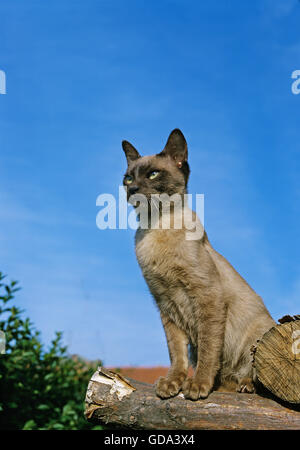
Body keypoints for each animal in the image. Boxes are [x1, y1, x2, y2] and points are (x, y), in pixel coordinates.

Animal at [121, 128, 274, 400]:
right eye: (128, 178)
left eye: (153, 174)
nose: (133, 189)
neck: (156, 227)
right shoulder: (166, 304)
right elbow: (176, 353)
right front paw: (173, 383)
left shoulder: (207, 296)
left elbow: (208, 348)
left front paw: (198, 385)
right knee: (225, 379)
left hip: (260, 333)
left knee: (254, 377)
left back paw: (246, 385)